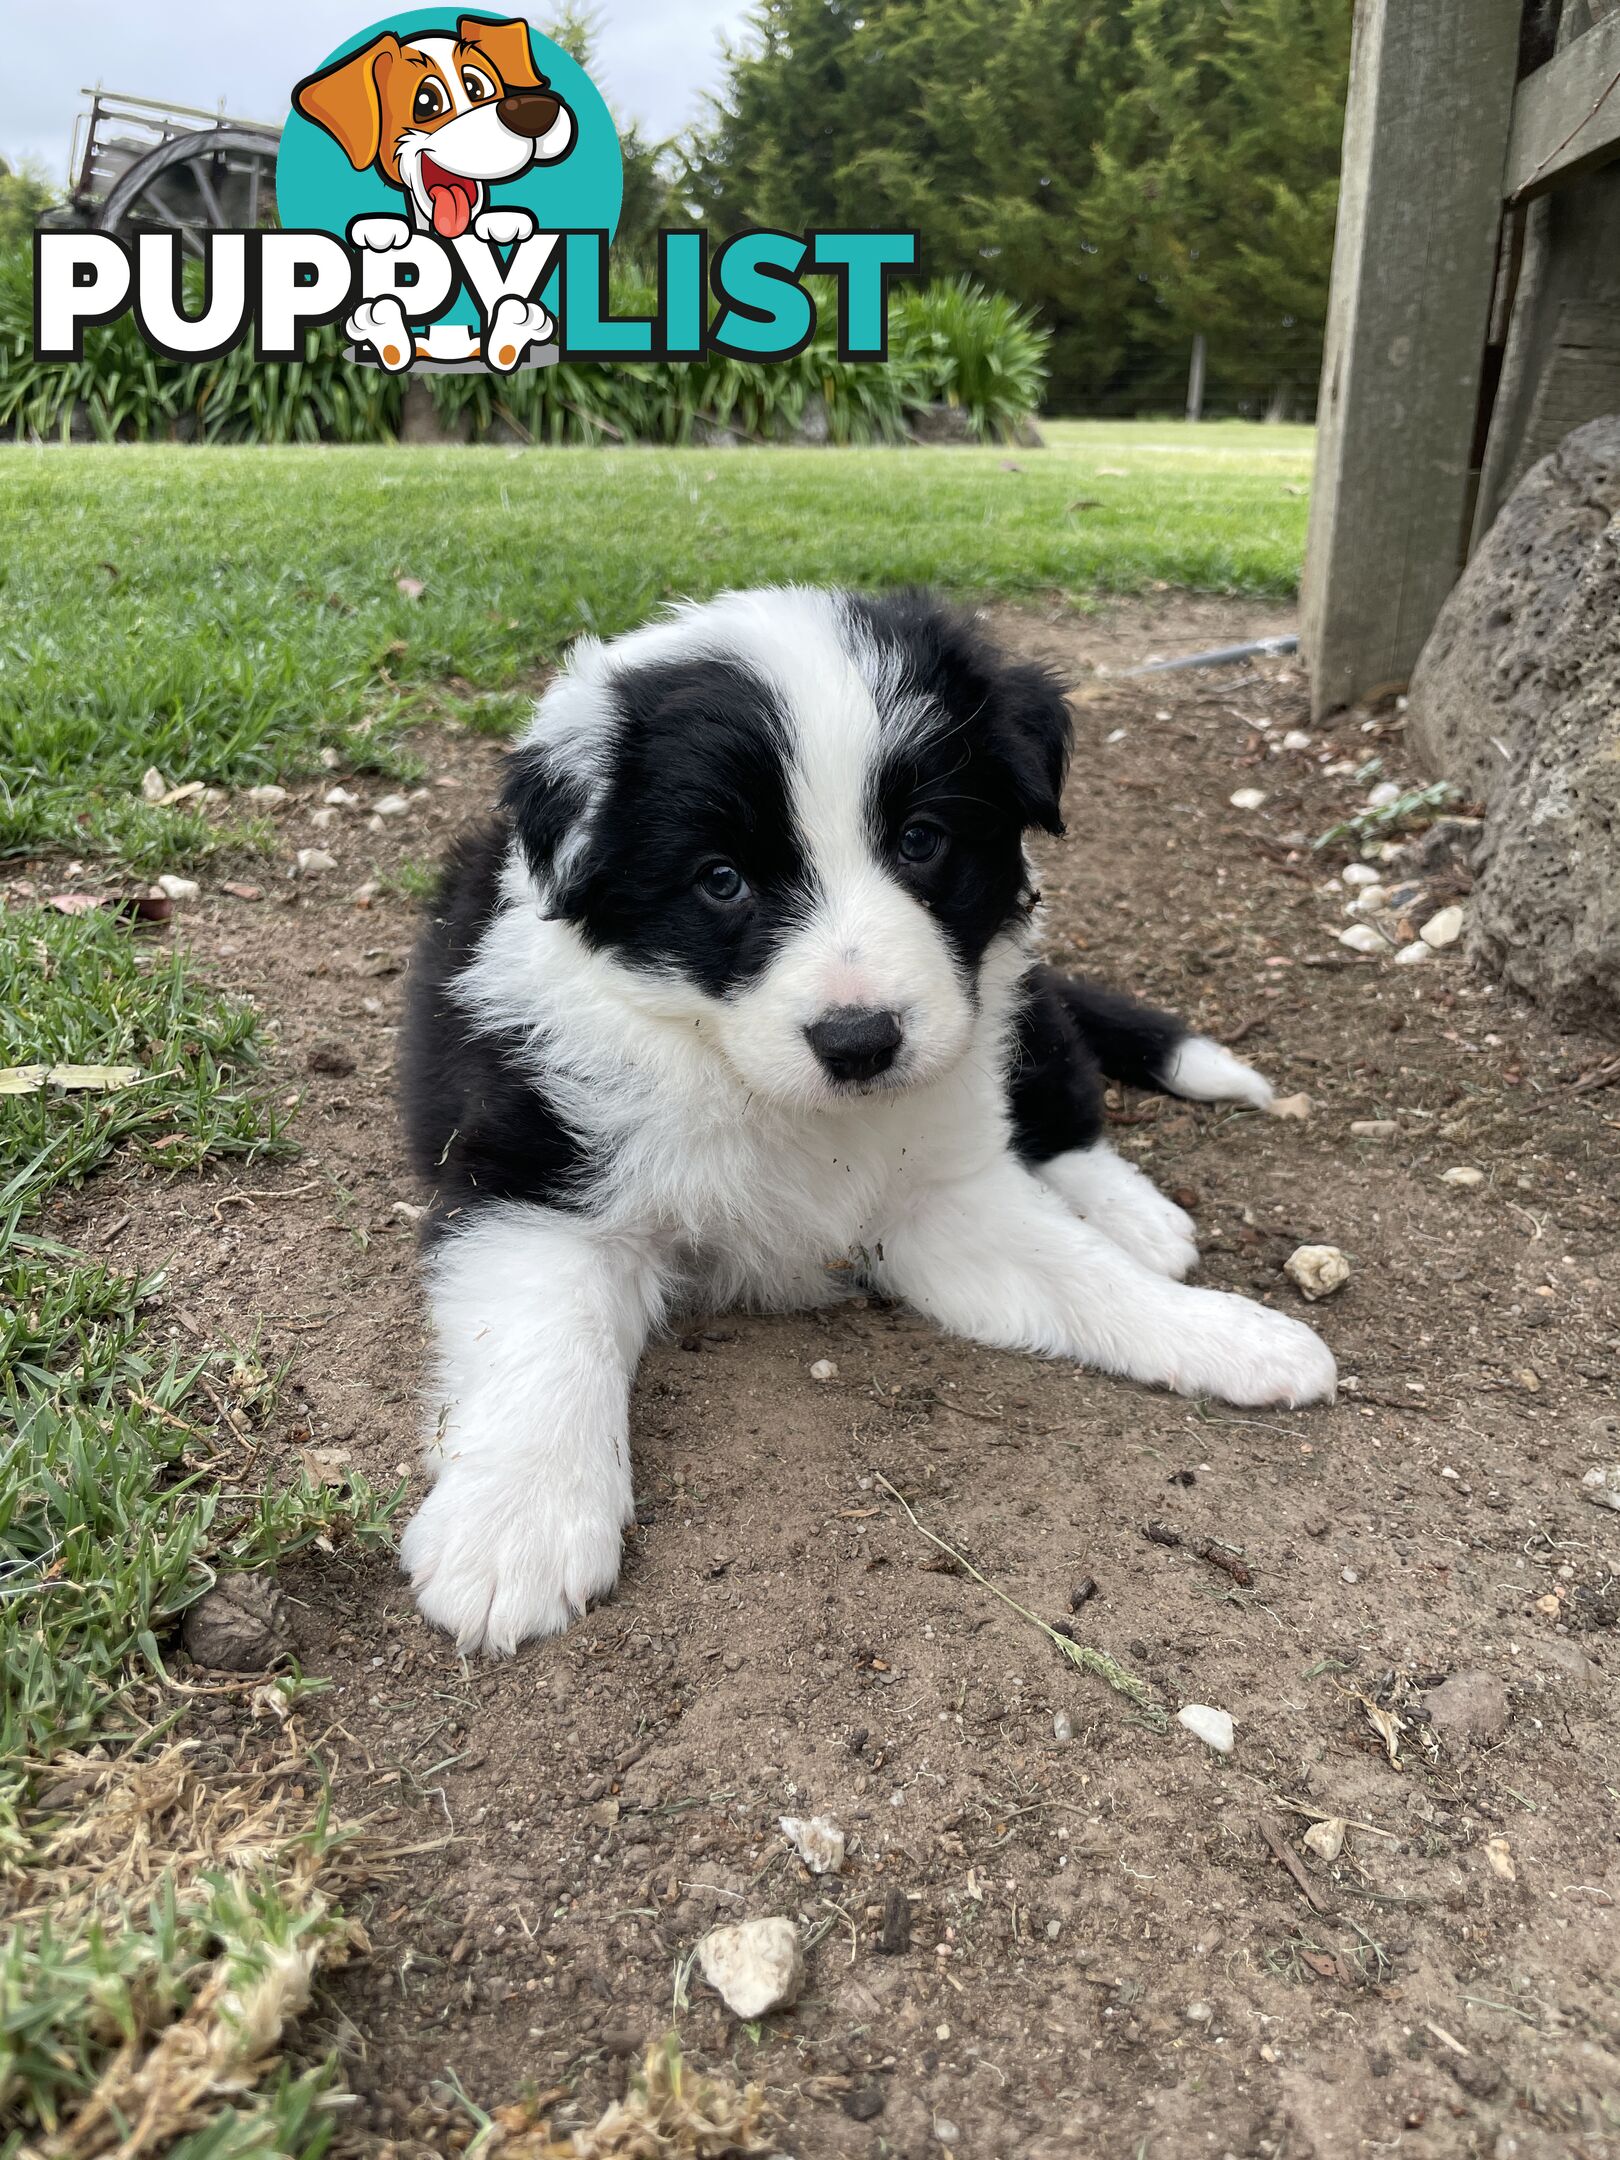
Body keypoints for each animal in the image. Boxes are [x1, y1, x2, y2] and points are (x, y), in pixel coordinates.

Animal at [399, 583, 1339, 1641]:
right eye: (720, 879)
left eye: (922, 840)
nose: (861, 1042)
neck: (747, 1079)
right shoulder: (529, 1177)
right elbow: (544, 1339)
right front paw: (513, 1528)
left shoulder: (942, 1195)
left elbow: (1085, 1274)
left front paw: (1231, 1336)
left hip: (1018, 1009)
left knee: (1063, 1107)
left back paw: (1137, 1216)